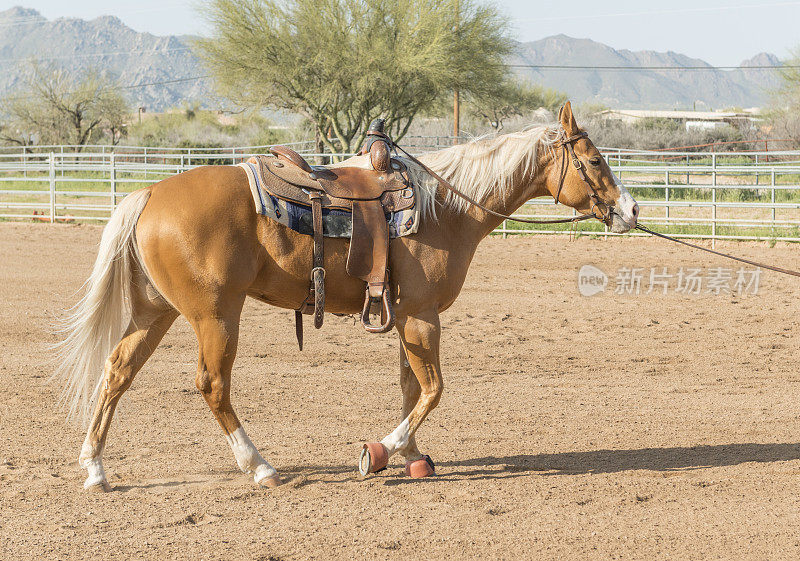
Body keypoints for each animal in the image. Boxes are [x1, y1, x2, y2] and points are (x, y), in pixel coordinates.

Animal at [54, 101, 636, 490]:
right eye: (595, 160)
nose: (630, 210)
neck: (444, 208)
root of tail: (150, 192)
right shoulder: (422, 316)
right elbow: (433, 389)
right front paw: (379, 452)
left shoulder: (407, 317)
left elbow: (411, 387)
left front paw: (414, 457)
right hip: (215, 315)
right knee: (212, 385)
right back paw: (260, 466)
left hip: (155, 312)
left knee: (117, 371)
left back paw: (95, 468)